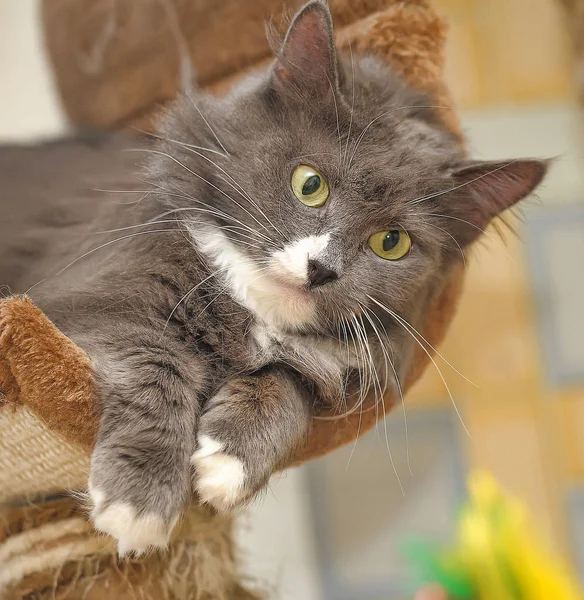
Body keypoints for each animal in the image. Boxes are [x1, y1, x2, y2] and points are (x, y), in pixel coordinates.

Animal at [0, 0, 548, 556]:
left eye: (391, 242)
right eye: (310, 184)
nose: (322, 269)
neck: (254, 307)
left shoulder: (330, 366)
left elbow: (287, 384)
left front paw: (229, 463)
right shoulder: (95, 302)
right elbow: (161, 365)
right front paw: (139, 502)